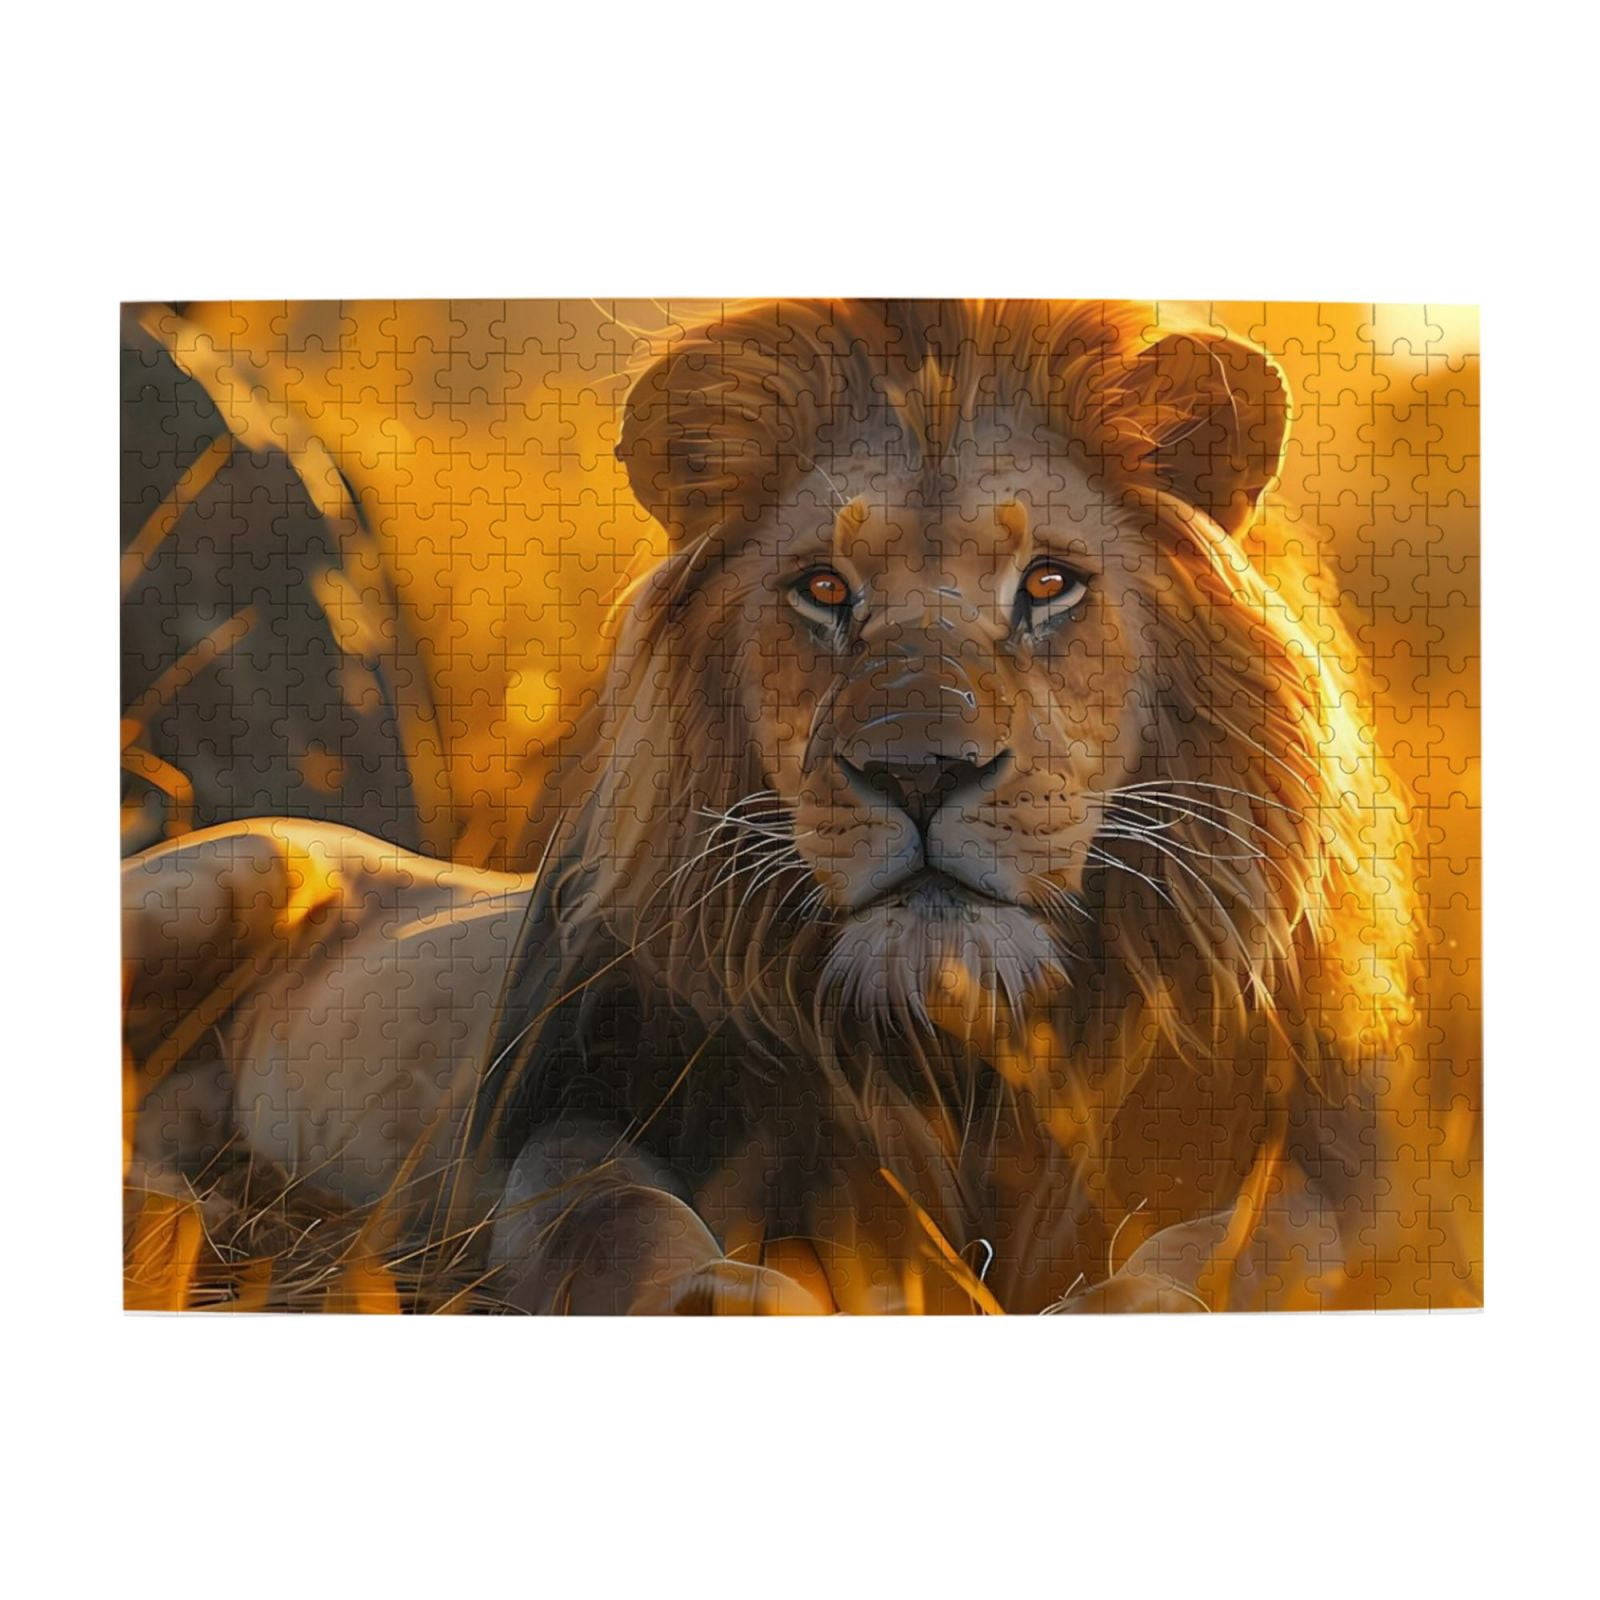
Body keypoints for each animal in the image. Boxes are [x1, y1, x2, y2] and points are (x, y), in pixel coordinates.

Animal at [123, 299, 1415, 1314]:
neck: (957, 1046)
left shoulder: (1305, 1156)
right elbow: (609, 1218)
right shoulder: (572, 1112)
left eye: (1048, 583)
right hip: (227, 877)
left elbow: (1251, 1248)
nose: (920, 773)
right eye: (823, 590)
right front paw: (722, 1295)